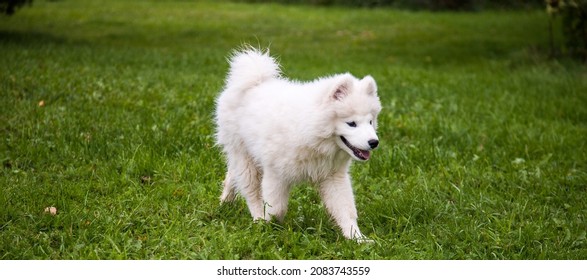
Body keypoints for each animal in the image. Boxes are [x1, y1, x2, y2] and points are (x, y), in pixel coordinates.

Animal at [215, 47, 382, 241]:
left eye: (370, 122)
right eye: (351, 123)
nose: (374, 142)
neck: (311, 132)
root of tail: (255, 80)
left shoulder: (333, 176)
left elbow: (345, 209)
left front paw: (357, 238)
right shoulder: (276, 173)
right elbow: (276, 208)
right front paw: (268, 227)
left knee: (233, 174)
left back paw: (225, 201)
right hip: (244, 154)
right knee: (251, 190)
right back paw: (257, 218)